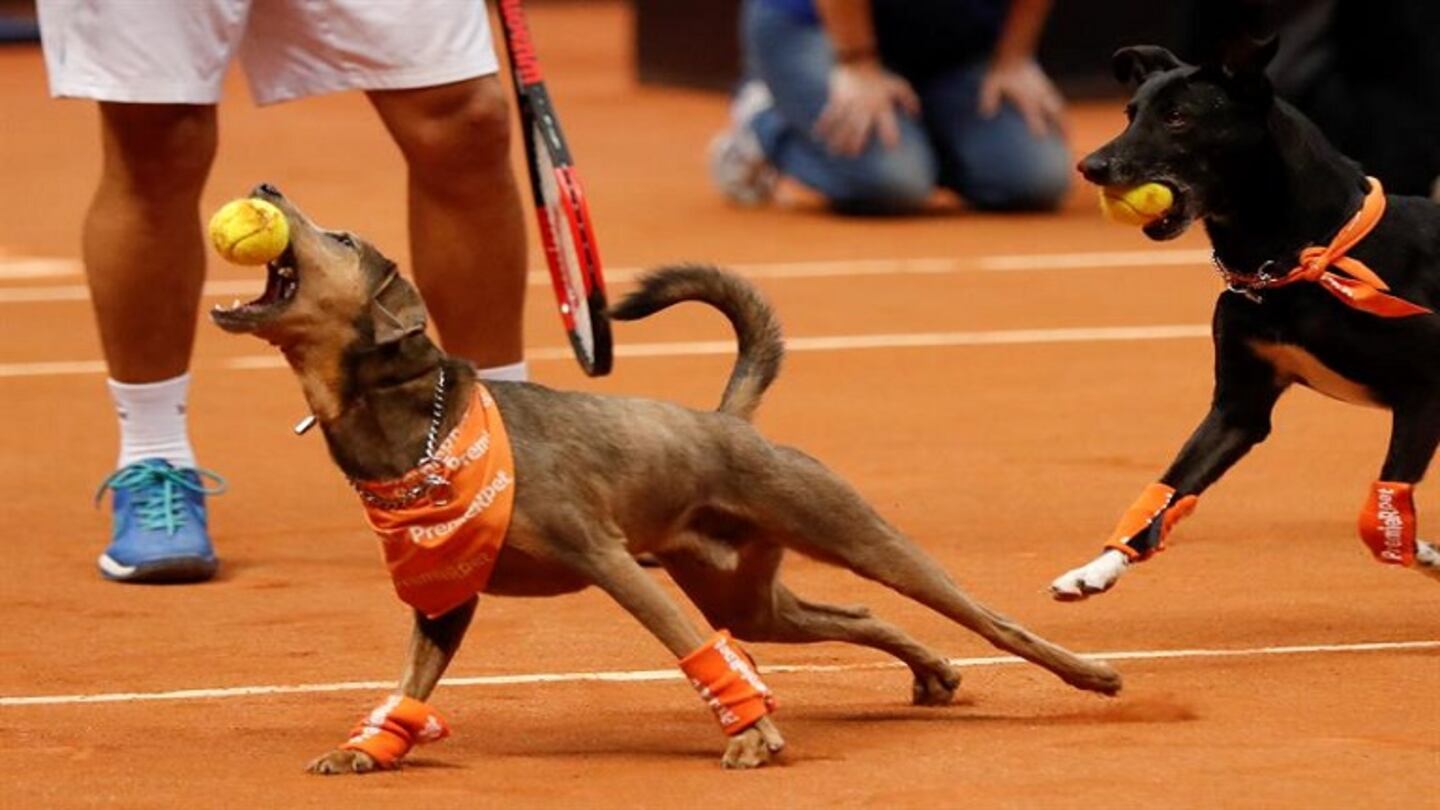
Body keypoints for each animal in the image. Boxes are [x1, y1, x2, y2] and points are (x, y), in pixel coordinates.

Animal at [213, 185, 1117, 772]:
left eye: (342, 239)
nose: (264, 187)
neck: (422, 428)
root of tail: (729, 423)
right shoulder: (443, 595)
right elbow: (409, 681)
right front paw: (366, 747)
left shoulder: (606, 558)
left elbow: (686, 645)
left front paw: (749, 734)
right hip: (748, 598)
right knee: (856, 613)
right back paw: (931, 672)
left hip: (853, 533)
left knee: (988, 617)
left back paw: (1088, 674)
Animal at [1048, 37, 1440, 596]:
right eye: (1130, 113)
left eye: (1178, 117)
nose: (1091, 165)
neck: (1300, 262)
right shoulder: (1237, 410)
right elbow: (1168, 490)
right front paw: (1096, 568)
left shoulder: (1423, 392)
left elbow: (1382, 512)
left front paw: (1422, 553)